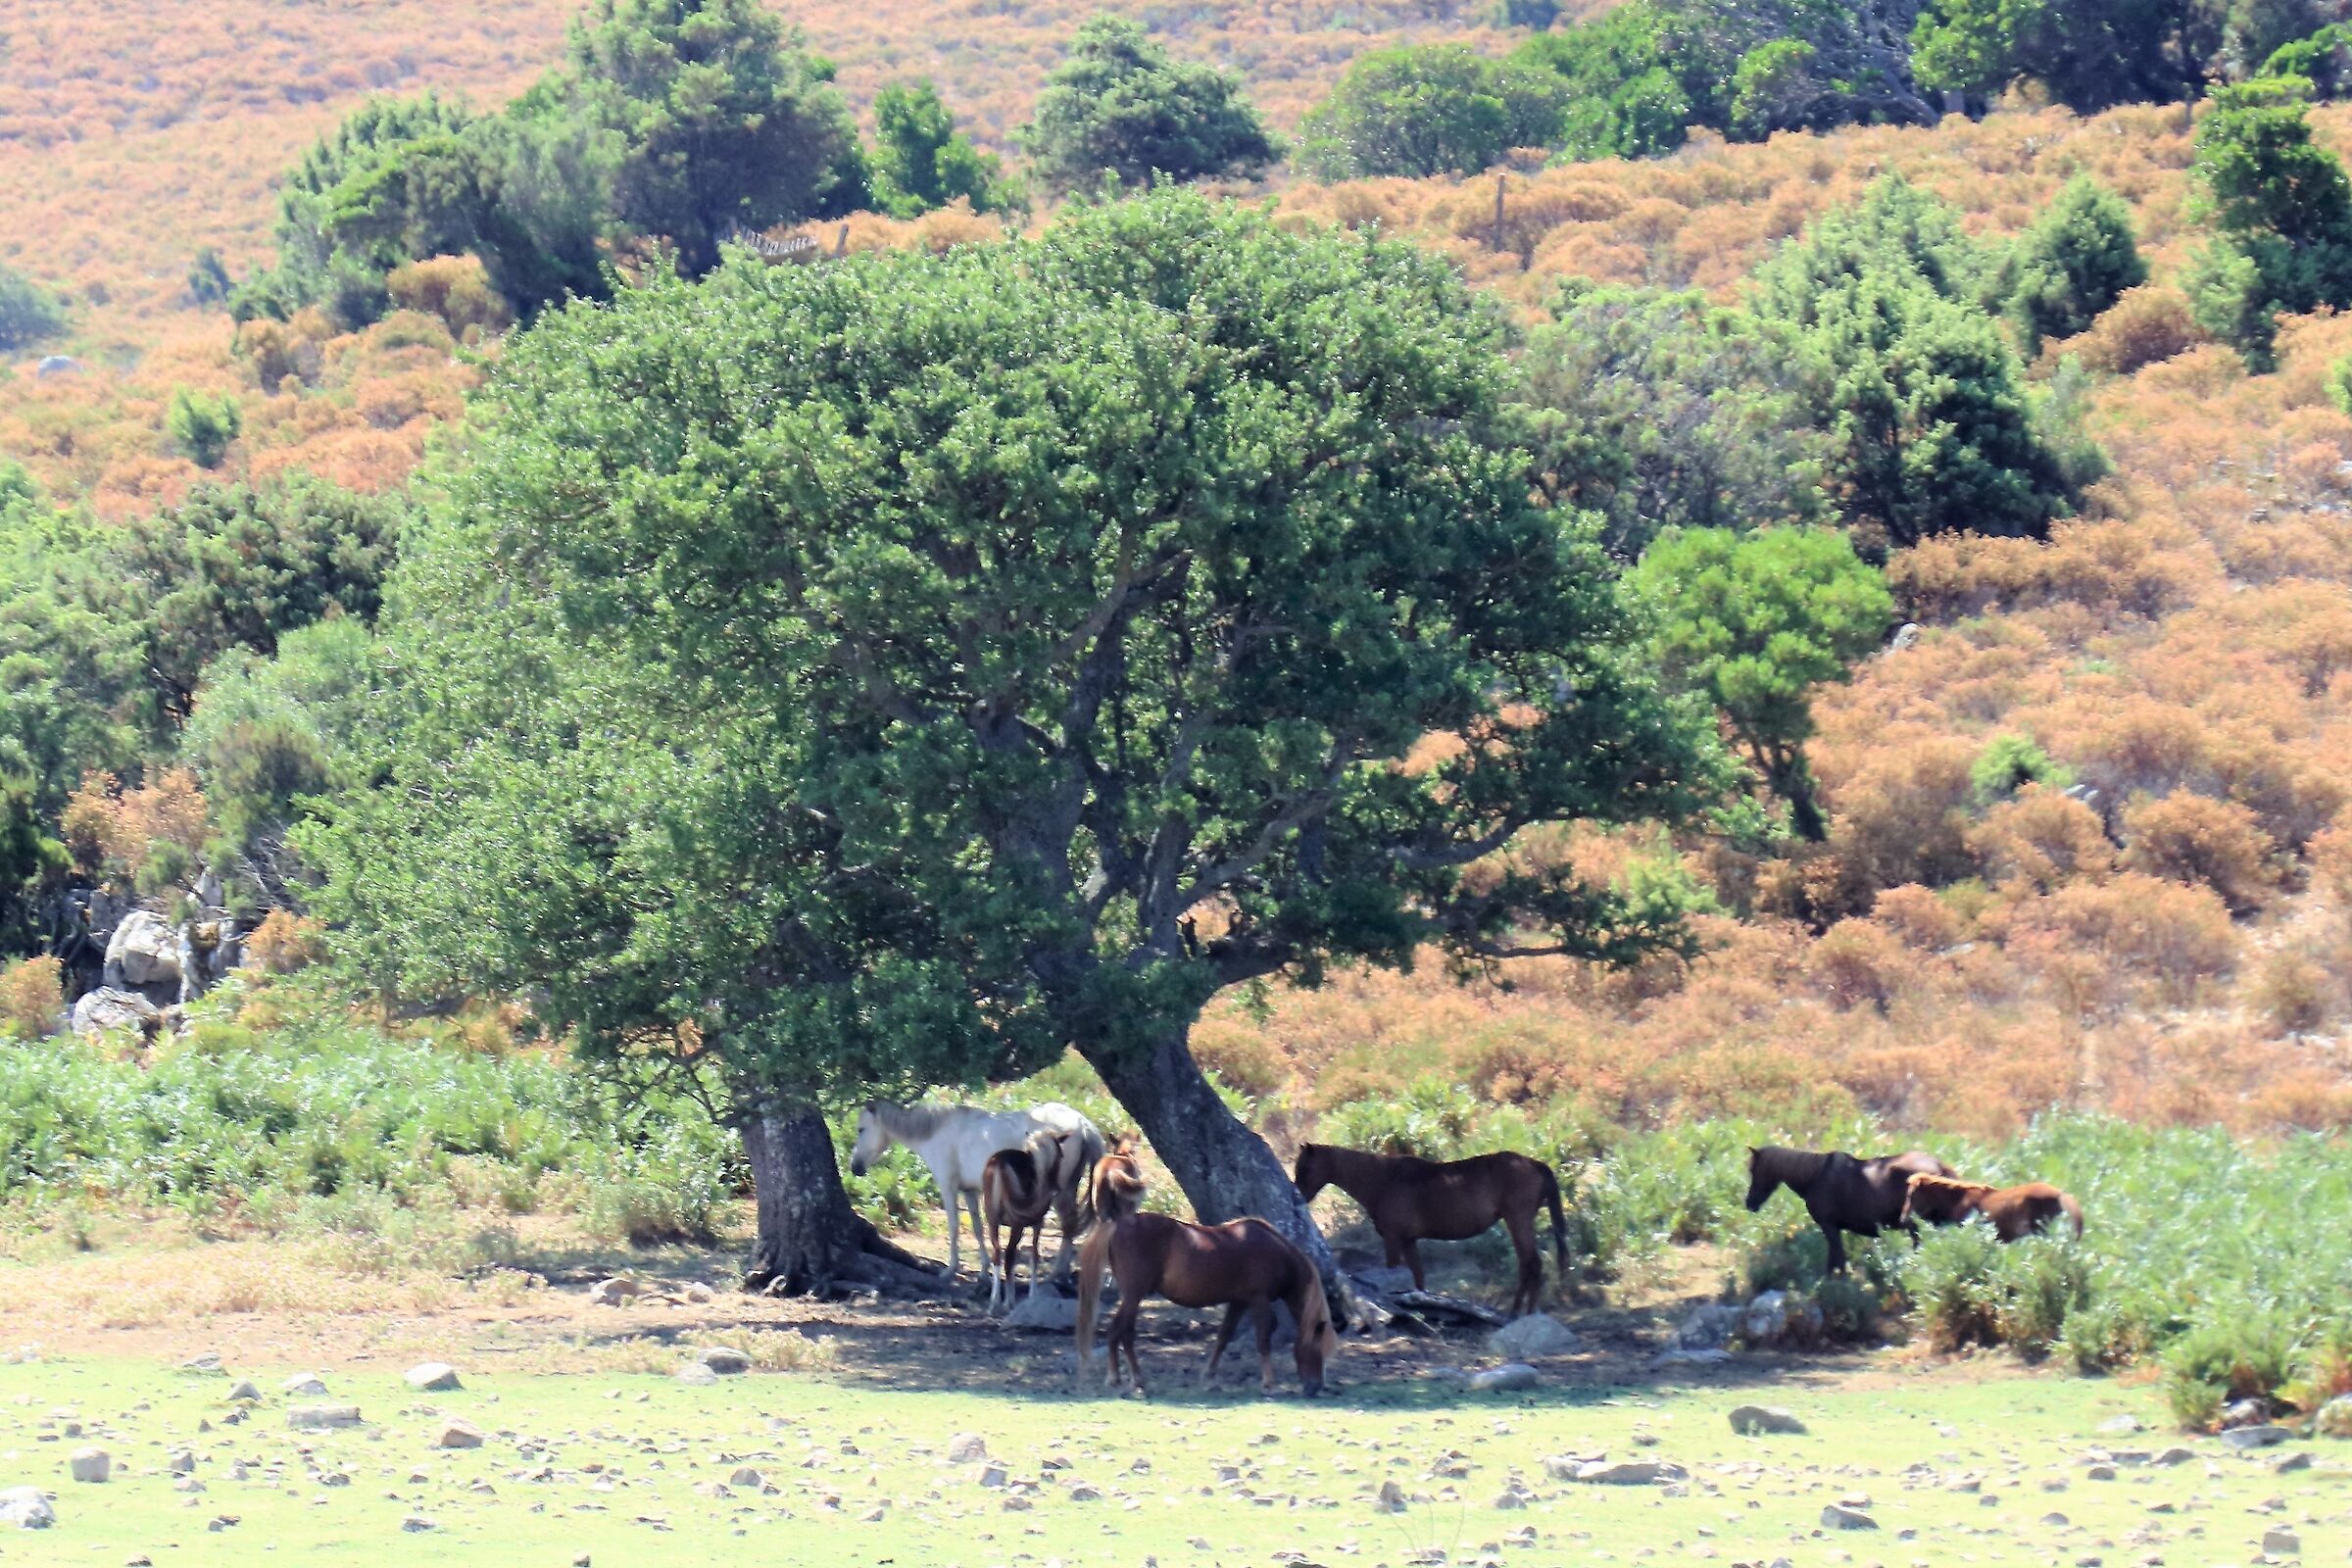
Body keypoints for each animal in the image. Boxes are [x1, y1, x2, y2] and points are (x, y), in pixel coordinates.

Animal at [849, 1100, 1105, 1287]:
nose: (855, 1167)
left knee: (1068, 1225)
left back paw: (1057, 1274)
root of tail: (1081, 1122)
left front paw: (951, 1270)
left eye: (861, 1129)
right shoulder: (969, 1191)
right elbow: (977, 1228)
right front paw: (983, 1271)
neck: (938, 1132)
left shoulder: (948, 1187)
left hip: (1060, 1190)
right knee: (1069, 1226)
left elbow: (953, 1227)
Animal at [979, 1130, 1082, 1312]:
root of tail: (1000, 1162)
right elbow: (1034, 1255)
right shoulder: (1038, 1223)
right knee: (1009, 1256)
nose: (1055, 1188)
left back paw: (994, 1302)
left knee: (998, 1254)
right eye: (1061, 1155)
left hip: (992, 1220)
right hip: (1016, 1225)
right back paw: (1008, 1302)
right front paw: (1033, 1295)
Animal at [1076, 1208, 1337, 1397]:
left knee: (1123, 1333)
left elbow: (1223, 1338)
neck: (1274, 1250)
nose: (1315, 1388)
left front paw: (1210, 1379)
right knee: (1120, 1332)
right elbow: (1263, 1340)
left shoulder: (1238, 1303)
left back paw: (1130, 1379)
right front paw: (1268, 1384)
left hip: (1133, 1297)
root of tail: (1120, 1223)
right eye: (1317, 1348)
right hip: (1133, 1295)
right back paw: (1123, 1379)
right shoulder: (1259, 1301)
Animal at [1292, 1143, 1568, 1318]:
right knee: (1529, 1265)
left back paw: (1522, 1314)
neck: (1383, 1180)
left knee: (1531, 1265)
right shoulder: (1409, 1241)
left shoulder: (1393, 1240)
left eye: (1304, 1168)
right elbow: (1418, 1280)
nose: (1297, 1197)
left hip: (1518, 1222)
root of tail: (1533, 1163)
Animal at [1744, 1145, 1955, 1273]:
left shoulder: (1829, 1226)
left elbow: (1837, 1261)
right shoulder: (1834, 1228)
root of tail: (1939, 1166)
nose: (1749, 1203)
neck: (1814, 1176)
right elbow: (1836, 1261)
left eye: (1754, 1170)